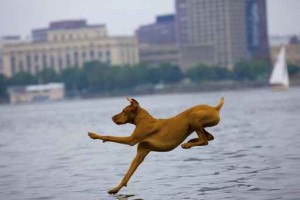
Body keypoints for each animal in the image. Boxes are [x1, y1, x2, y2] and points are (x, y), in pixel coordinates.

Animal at [88, 97, 224, 194]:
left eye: (124, 111)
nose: (112, 117)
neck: (143, 119)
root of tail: (214, 108)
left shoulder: (131, 140)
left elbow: (110, 136)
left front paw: (94, 135)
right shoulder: (141, 153)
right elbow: (127, 174)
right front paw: (116, 189)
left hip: (194, 118)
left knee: (205, 140)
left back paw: (187, 144)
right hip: (196, 124)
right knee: (209, 137)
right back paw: (191, 140)